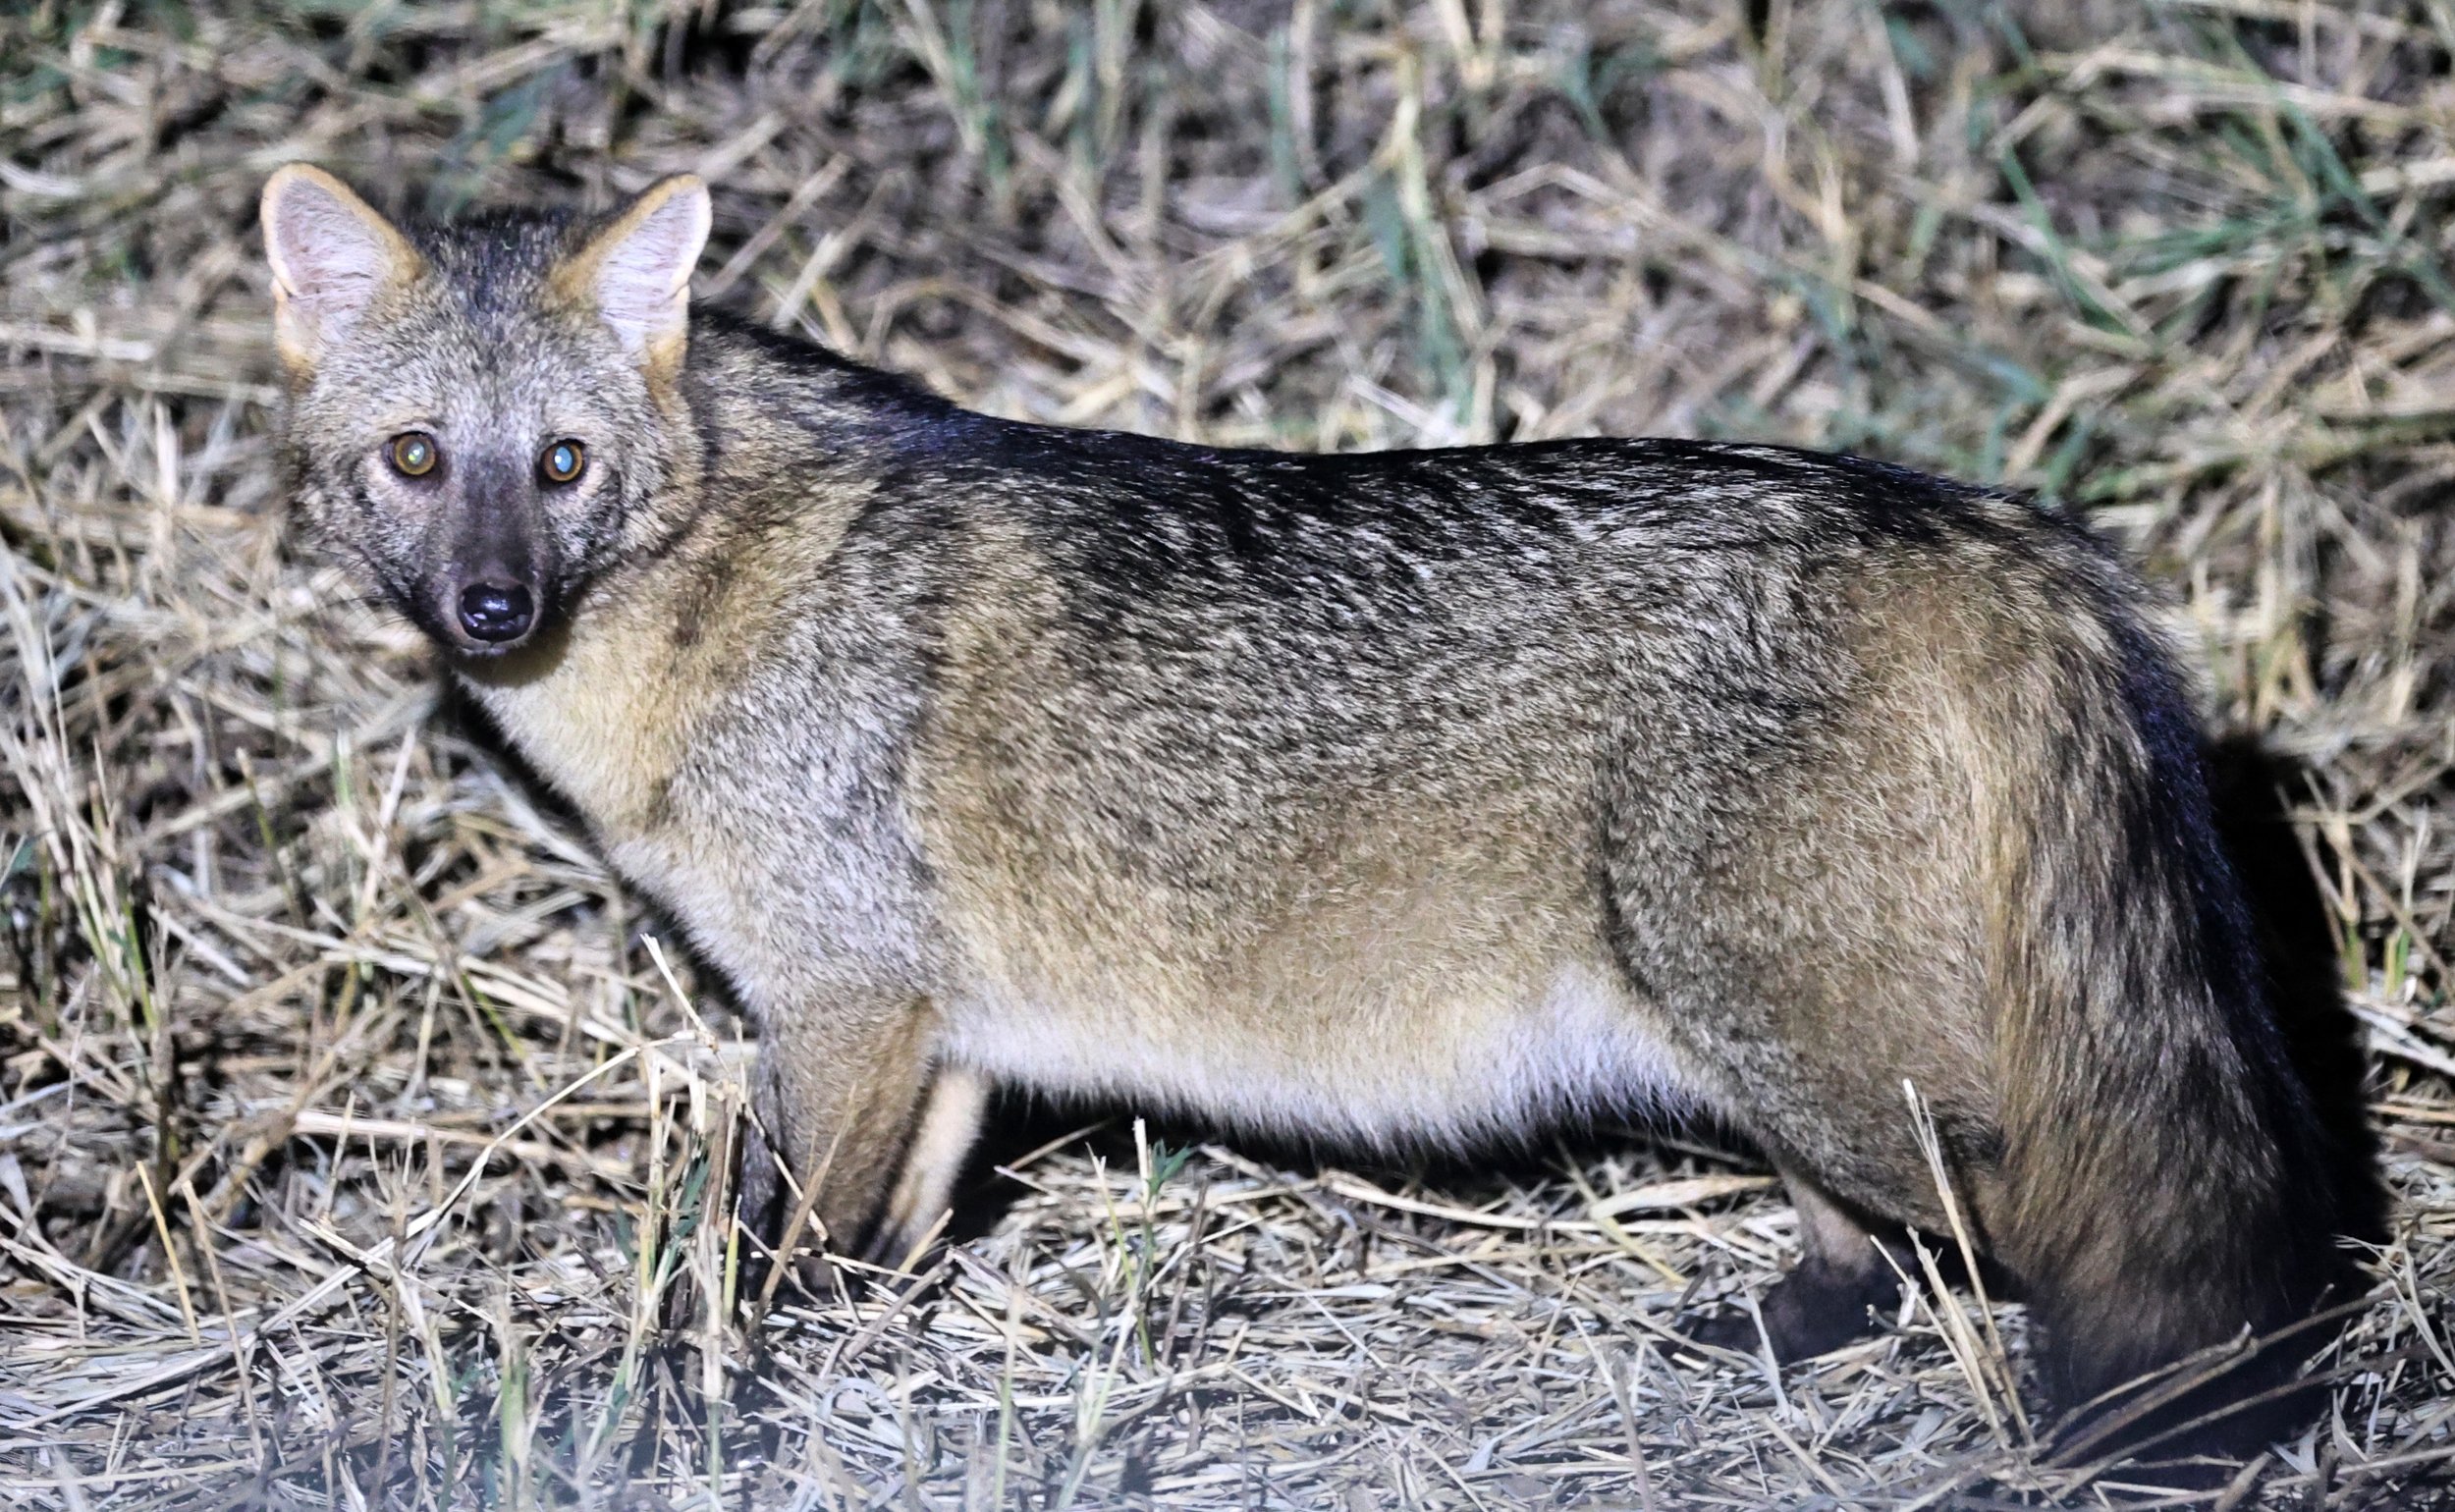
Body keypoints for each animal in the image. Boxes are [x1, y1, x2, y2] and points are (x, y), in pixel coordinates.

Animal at [261, 164, 2363, 1456]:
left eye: (559, 467)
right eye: (418, 461)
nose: (491, 610)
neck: (714, 599)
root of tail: (1987, 525)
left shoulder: (841, 1009)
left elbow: (749, 1261)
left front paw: (693, 1405)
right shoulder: (934, 1045)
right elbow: (873, 1249)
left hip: (1848, 1064)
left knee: (2087, 1249)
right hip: (1782, 1061)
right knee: (1875, 1248)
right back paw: (1768, 1335)